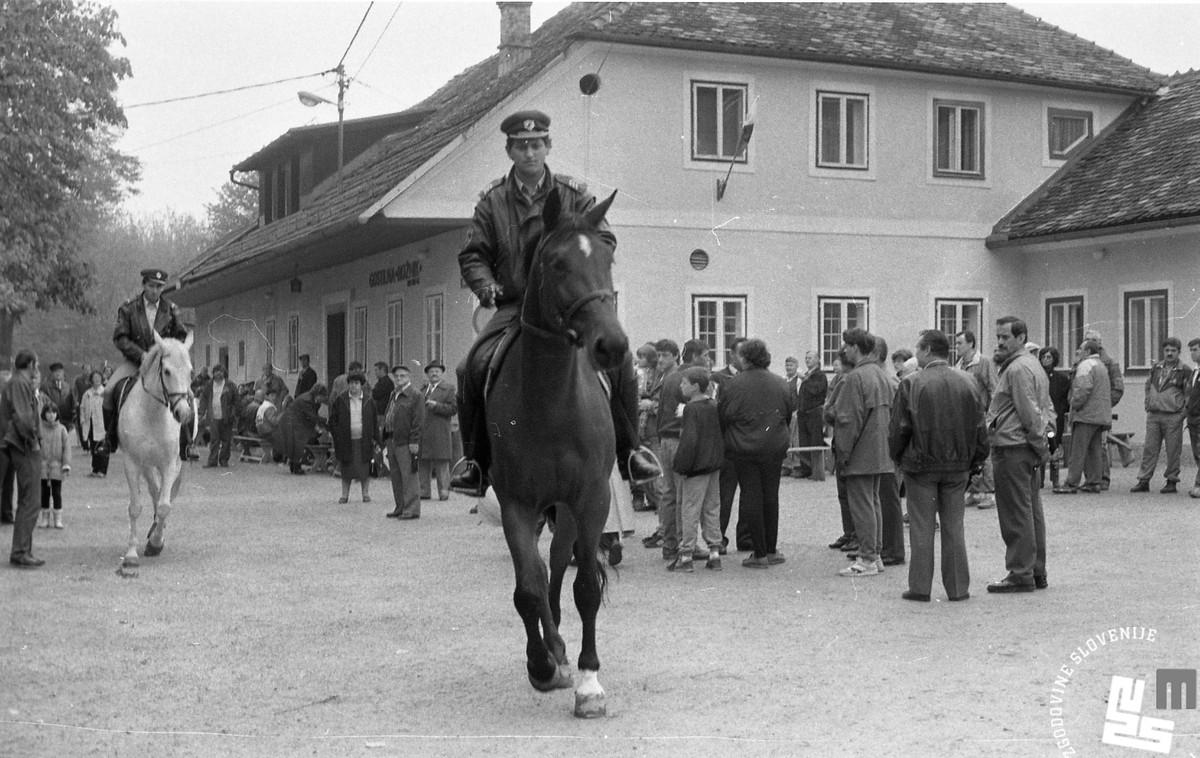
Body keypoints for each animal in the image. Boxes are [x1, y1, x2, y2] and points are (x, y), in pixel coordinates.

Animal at [117, 331, 194, 568]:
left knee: (161, 494)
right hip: (146, 465)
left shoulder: (169, 464)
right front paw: (131, 554)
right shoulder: (131, 463)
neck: (152, 414)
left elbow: (164, 506)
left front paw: (156, 543)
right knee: (154, 490)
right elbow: (135, 507)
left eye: (191, 372)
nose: (183, 413)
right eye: (167, 371)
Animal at [484, 183, 624, 714]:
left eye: (607, 254)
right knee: (543, 574)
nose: (612, 345)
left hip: (567, 509)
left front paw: (588, 681)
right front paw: (542, 665)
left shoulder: (592, 499)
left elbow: (584, 587)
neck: (550, 403)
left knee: (561, 566)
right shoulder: (515, 504)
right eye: (557, 263)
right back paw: (553, 650)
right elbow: (528, 588)